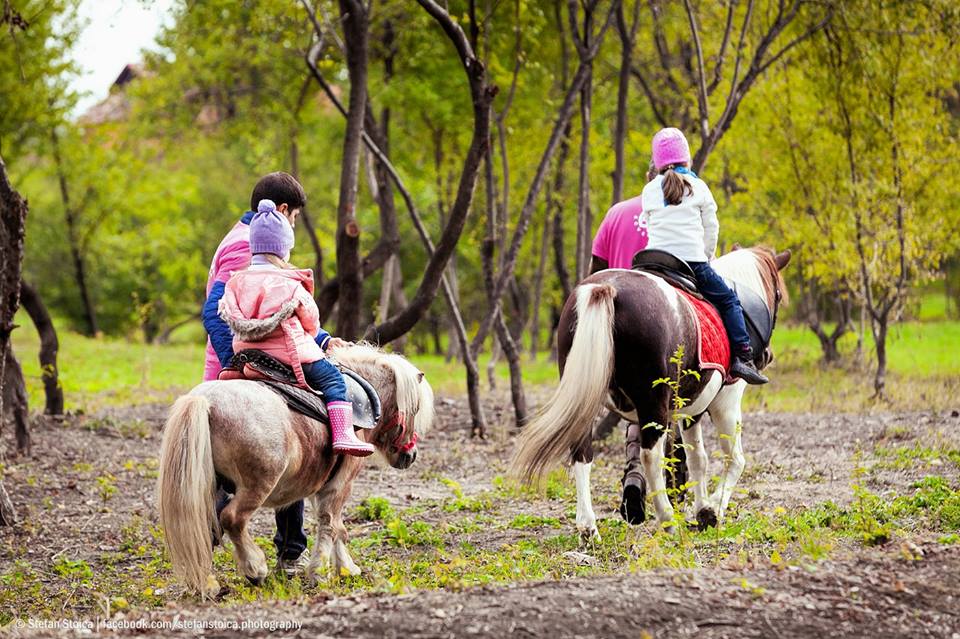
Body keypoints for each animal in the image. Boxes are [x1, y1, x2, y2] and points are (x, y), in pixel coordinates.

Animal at [157, 343, 434, 597]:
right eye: (414, 409)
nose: (410, 455)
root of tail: (206, 402)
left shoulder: (320, 486)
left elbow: (335, 526)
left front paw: (345, 568)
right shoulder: (341, 484)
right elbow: (331, 524)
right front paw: (322, 573)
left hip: (206, 486)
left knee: (204, 527)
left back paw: (206, 584)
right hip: (256, 487)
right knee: (232, 519)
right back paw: (255, 568)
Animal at [511, 247, 790, 538]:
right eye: (779, 295)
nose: (766, 356)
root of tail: (606, 288)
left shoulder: (691, 409)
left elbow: (697, 458)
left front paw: (702, 509)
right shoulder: (726, 401)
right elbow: (734, 459)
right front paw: (713, 509)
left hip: (586, 395)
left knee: (582, 450)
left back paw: (589, 527)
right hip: (652, 401)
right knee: (650, 457)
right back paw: (667, 521)